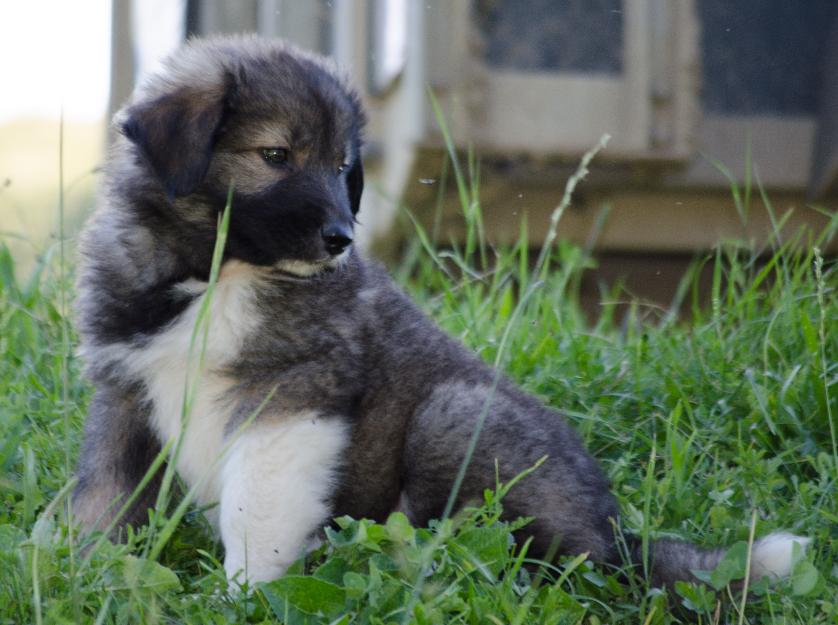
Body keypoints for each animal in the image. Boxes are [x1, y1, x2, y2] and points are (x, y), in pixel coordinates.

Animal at [75, 35, 812, 584]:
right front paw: (85, 573)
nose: (340, 238)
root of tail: (617, 539)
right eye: (276, 155)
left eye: (342, 166)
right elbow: (102, 493)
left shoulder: (292, 400)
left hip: (452, 415)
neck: (220, 272)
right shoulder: (125, 392)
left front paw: (246, 594)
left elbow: (255, 510)